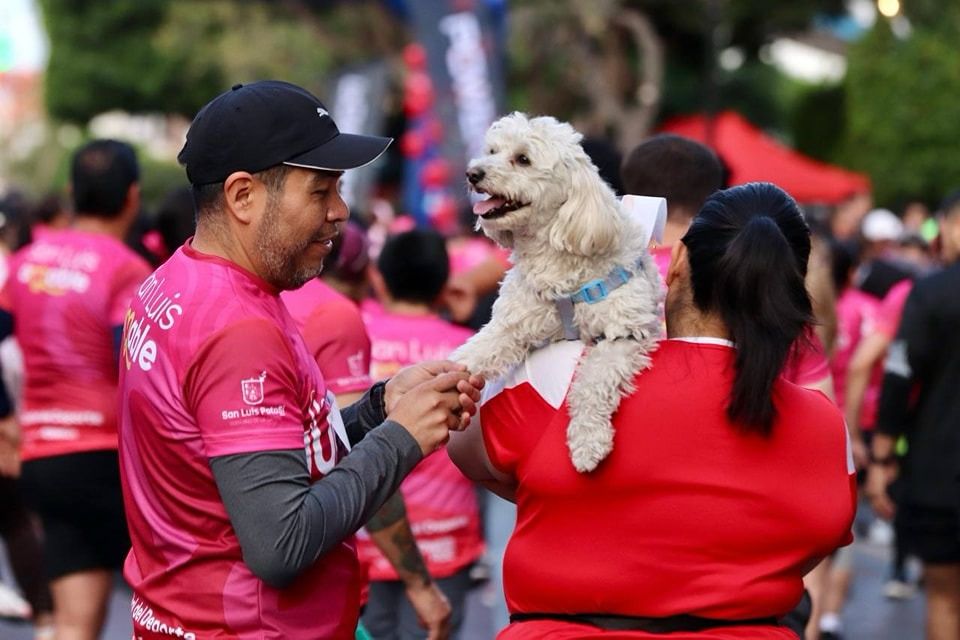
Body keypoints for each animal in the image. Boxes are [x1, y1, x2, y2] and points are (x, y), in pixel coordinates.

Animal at [454, 112, 664, 472]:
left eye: (523, 159)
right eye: (492, 151)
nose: (473, 173)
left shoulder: (624, 335)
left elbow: (592, 380)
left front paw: (588, 442)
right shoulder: (510, 327)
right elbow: (472, 355)